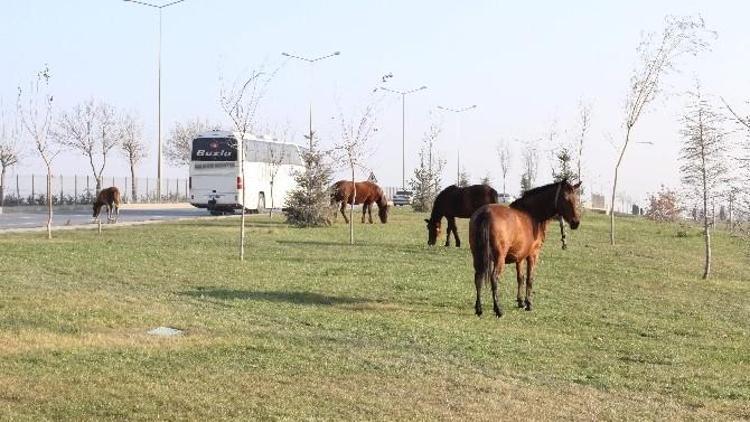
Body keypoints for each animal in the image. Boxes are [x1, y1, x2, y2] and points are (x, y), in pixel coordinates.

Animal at [472, 179, 584, 316]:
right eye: (565, 198)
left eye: (576, 199)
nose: (575, 222)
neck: (532, 215)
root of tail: (485, 213)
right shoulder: (533, 255)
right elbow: (530, 278)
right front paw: (529, 304)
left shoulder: (519, 257)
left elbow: (520, 278)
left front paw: (520, 302)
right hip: (499, 258)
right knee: (494, 278)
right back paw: (498, 309)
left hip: (477, 256)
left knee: (478, 277)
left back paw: (479, 309)